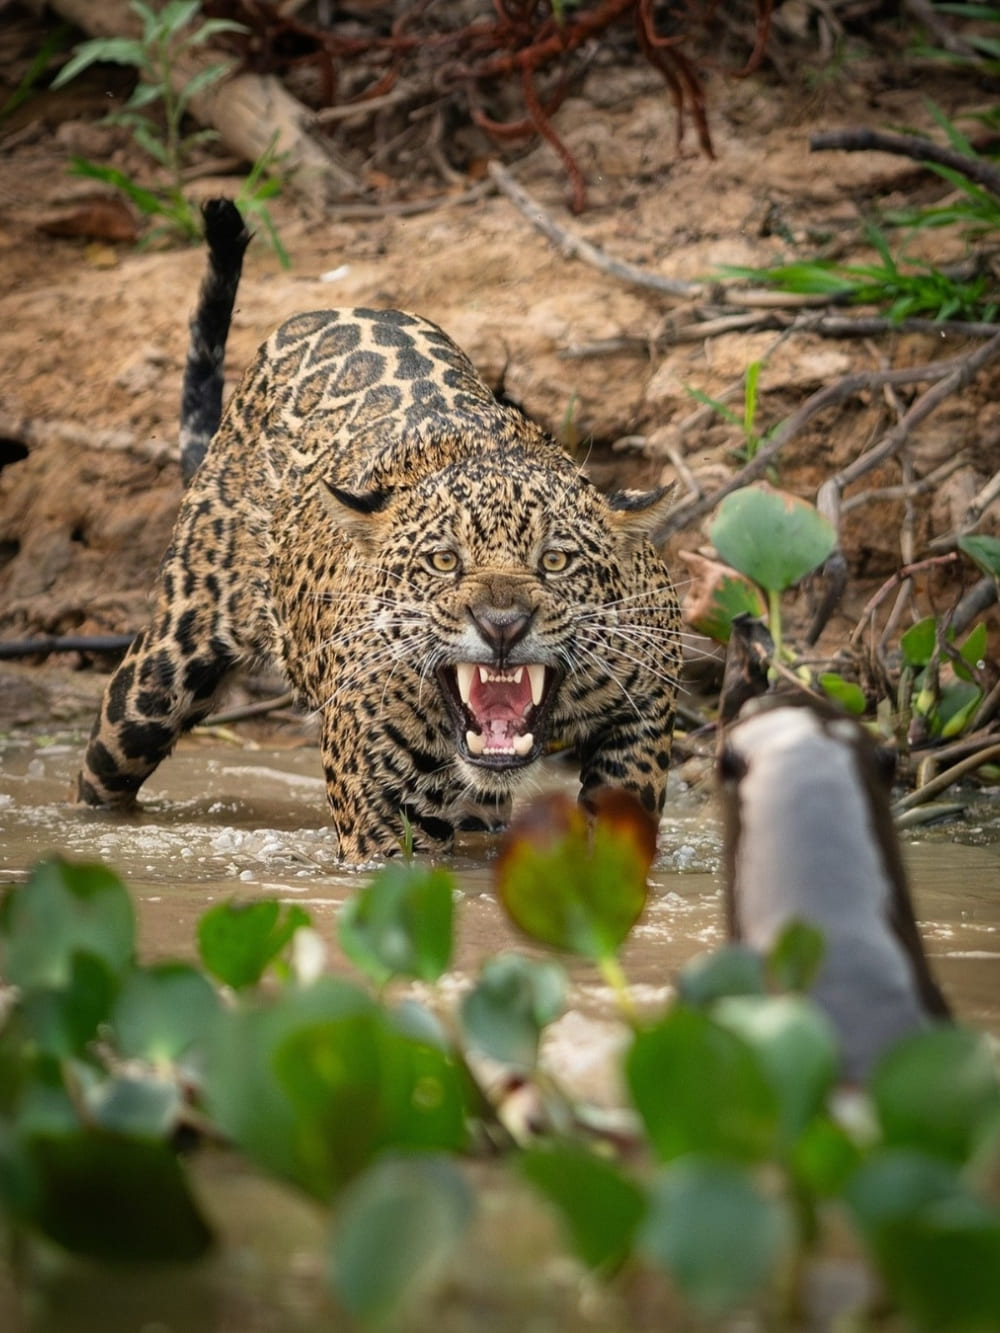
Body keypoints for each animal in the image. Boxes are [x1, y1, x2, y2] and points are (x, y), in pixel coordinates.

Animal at [75, 199, 682, 865]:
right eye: (443, 562)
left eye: (555, 561)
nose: (502, 626)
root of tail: (330, 309)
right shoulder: (380, 827)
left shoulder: (642, 711)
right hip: (161, 672)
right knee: (102, 764)